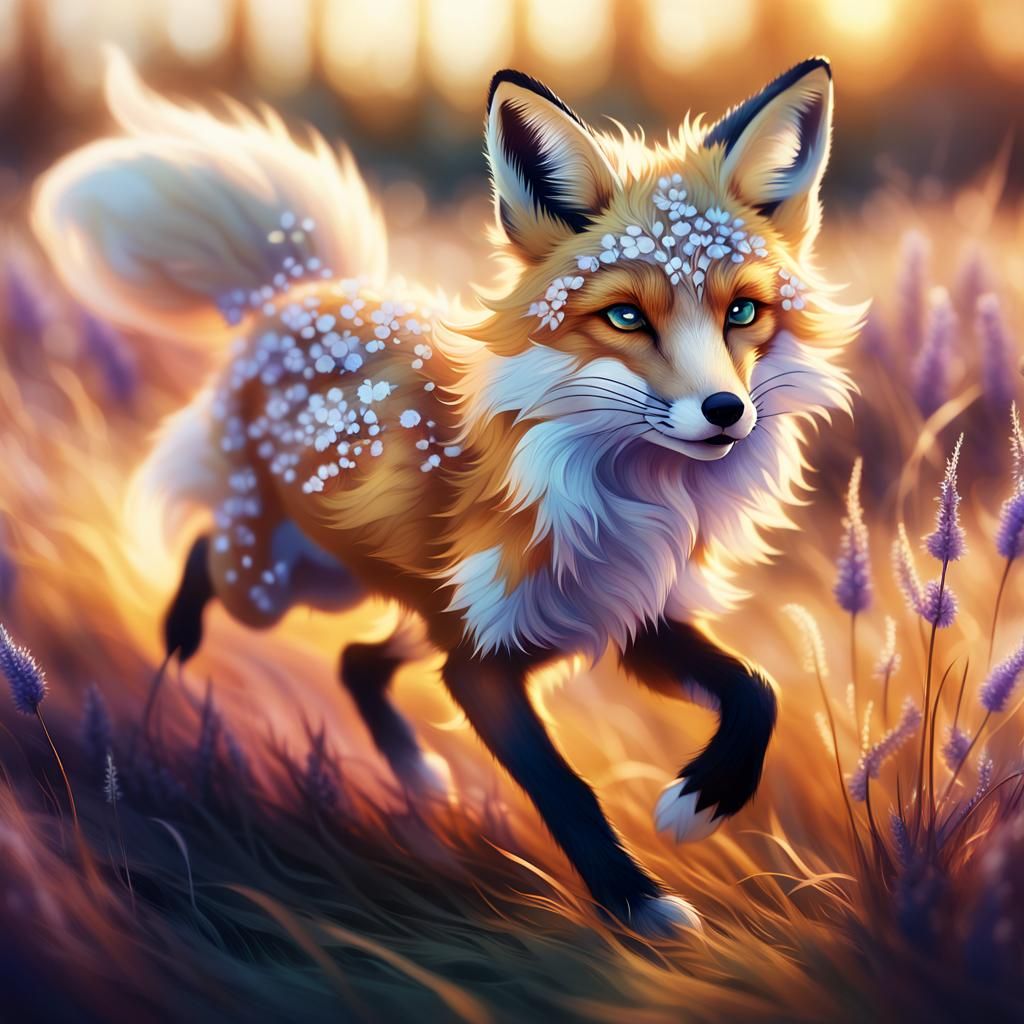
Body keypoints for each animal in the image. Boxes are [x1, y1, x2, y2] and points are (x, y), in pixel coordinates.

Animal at [33, 53, 860, 935]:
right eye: (626, 317)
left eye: (744, 310)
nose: (726, 411)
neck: (624, 500)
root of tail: (297, 292)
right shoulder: (480, 664)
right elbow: (565, 789)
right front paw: (635, 902)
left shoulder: (629, 619)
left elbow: (756, 690)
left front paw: (702, 800)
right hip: (284, 586)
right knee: (207, 554)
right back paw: (181, 635)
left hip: (398, 604)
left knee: (357, 662)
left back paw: (417, 775)